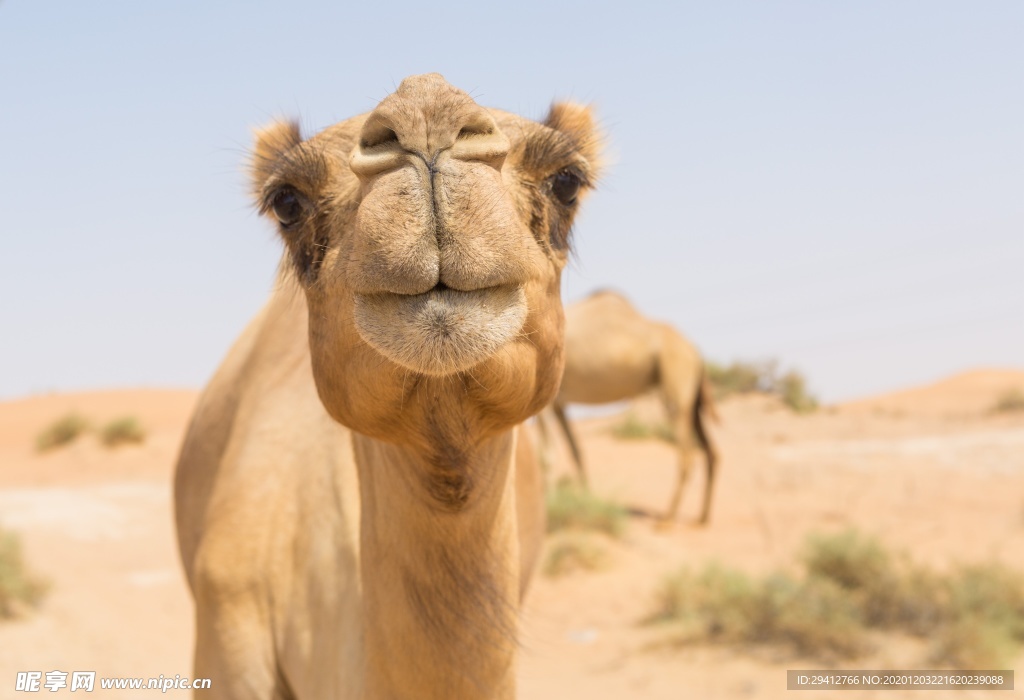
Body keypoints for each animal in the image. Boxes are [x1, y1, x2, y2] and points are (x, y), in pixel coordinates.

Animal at [536, 290, 720, 523]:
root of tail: (696, 351)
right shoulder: (560, 403)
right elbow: (575, 450)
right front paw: (587, 499)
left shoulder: (548, 400)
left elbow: (547, 455)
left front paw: (549, 508)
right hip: (693, 399)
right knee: (711, 451)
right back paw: (702, 518)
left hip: (676, 376)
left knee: (686, 454)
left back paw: (667, 519)